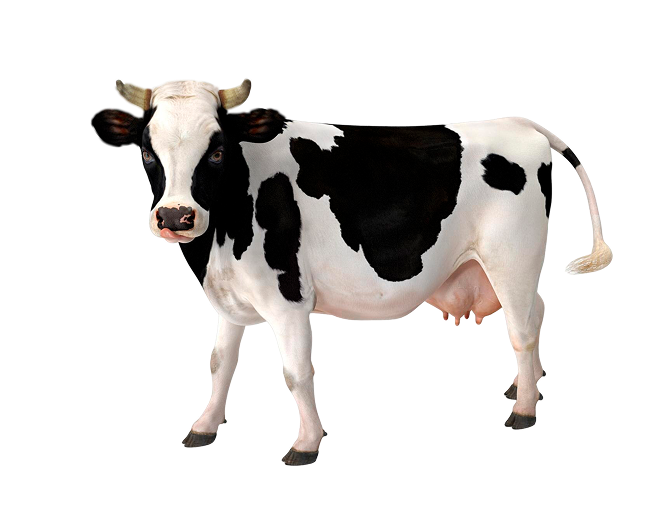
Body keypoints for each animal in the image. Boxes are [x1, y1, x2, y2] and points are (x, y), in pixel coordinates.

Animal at [100, 78, 612, 464]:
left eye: (217, 149)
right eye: (146, 151)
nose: (175, 217)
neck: (221, 237)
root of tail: (513, 123)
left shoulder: (287, 300)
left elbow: (295, 372)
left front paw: (306, 443)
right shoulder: (229, 299)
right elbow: (218, 364)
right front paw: (204, 427)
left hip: (513, 258)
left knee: (522, 329)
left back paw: (524, 408)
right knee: (537, 312)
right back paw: (525, 386)